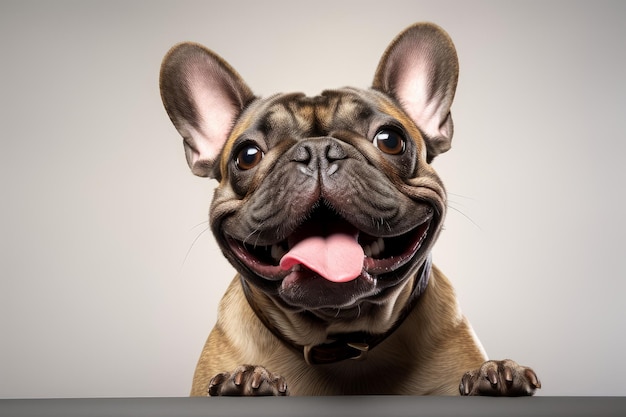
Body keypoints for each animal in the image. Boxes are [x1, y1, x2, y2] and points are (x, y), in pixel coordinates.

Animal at [158, 22, 540, 396]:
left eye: (390, 140)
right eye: (247, 155)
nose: (317, 151)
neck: (340, 338)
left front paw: (494, 373)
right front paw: (248, 380)